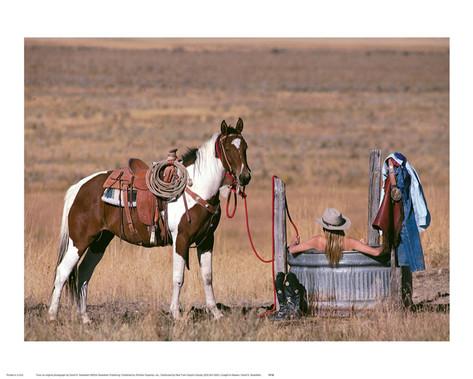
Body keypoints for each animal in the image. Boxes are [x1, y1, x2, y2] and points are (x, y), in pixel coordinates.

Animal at [48, 119, 251, 324]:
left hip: (100, 241)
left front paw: (216, 313)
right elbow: (178, 277)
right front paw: (176, 314)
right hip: (80, 241)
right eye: (228, 148)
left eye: (245, 147)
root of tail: (79, 187)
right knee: (62, 272)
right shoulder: (181, 239)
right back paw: (52, 316)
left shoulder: (207, 240)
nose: (245, 177)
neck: (196, 188)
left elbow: (208, 277)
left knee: (83, 273)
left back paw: (85, 318)